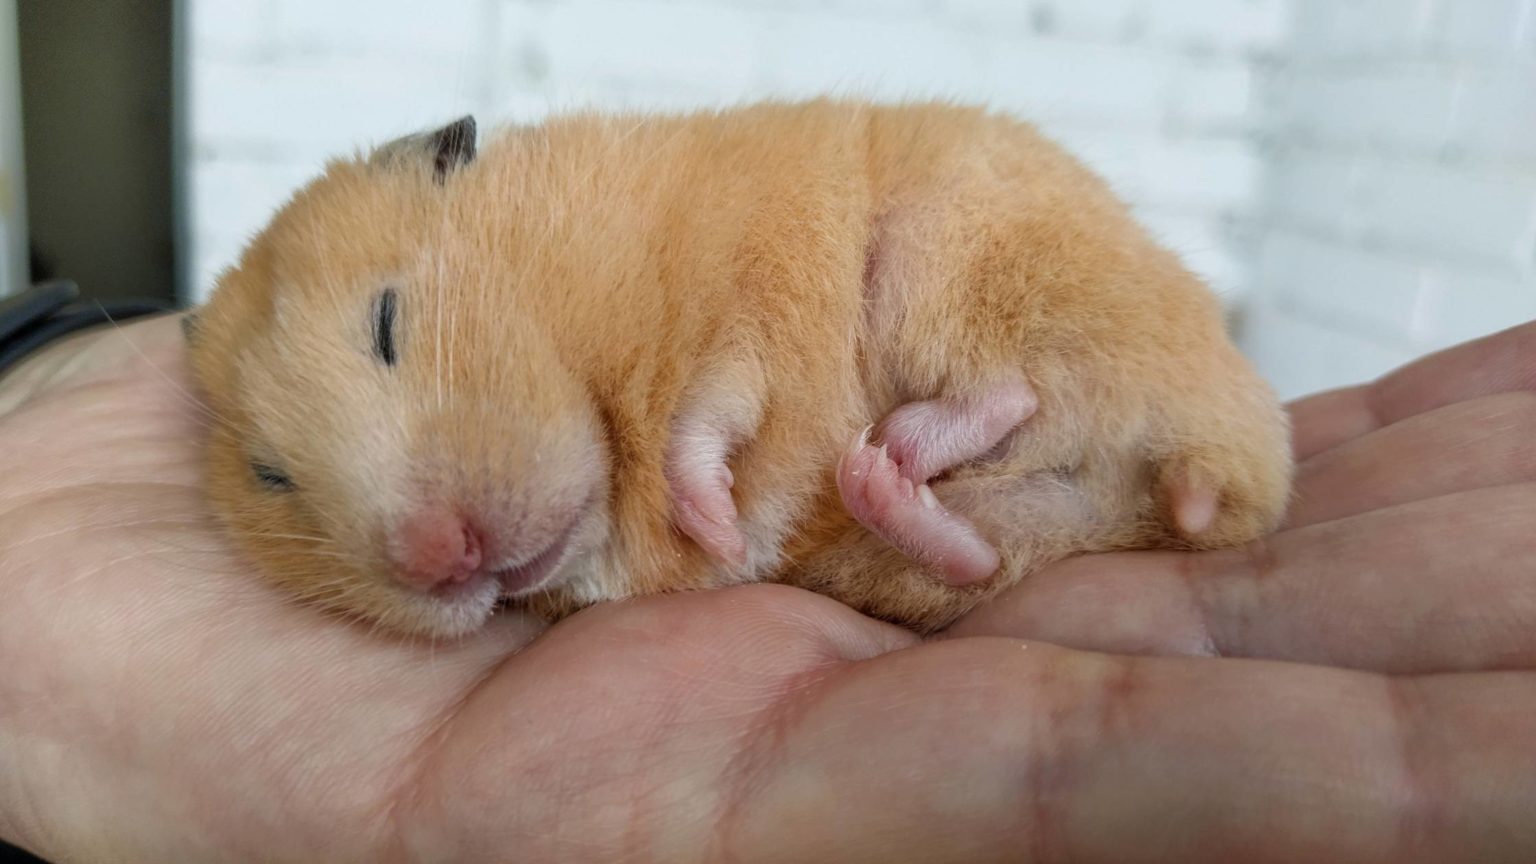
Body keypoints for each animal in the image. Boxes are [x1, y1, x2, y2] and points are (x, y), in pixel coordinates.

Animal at [185, 100, 1292, 638]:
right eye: (270, 477)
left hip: (951, 252)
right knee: (974, 551)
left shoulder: (761, 283)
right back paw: (888, 481)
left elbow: (716, 402)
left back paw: (898, 443)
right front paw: (722, 532)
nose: (440, 558)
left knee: (1013, 385)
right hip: (1031, 520)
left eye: (388, 321)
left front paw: (712, 521)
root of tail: (1236, 472)